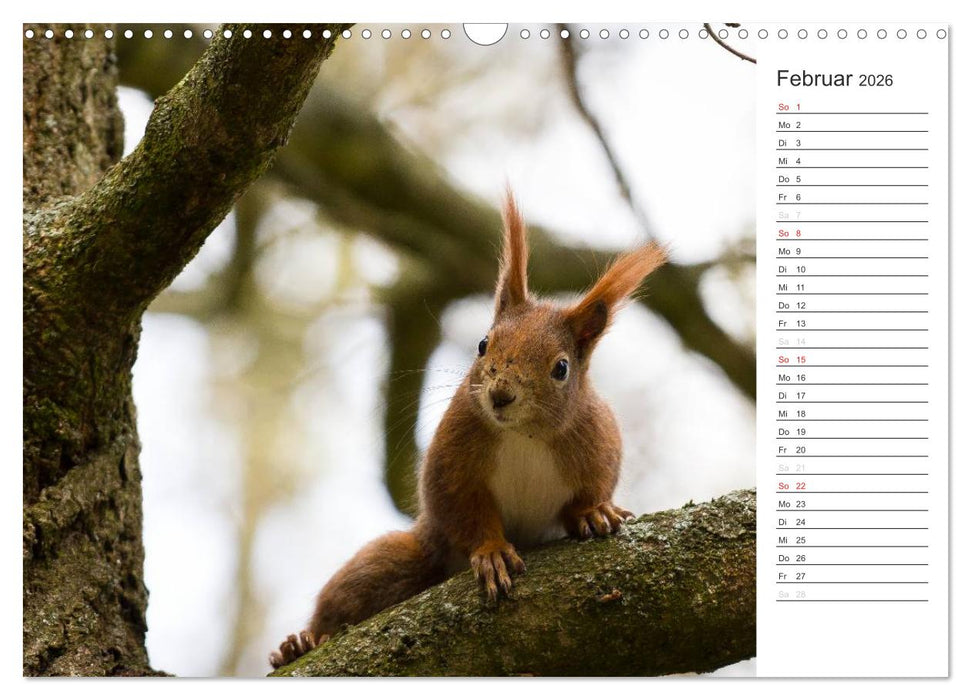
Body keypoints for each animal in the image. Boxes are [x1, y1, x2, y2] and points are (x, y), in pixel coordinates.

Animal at [270, 190, 667, 669]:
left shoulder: (596, 439)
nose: (500, 395)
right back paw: (300, 644)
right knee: (354, 591)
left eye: (561, 368)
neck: (523, 435)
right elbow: (462, 507)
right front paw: (492, 553)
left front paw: (593, 512)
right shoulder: (454, 457)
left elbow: (593, 487)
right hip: (410, 556)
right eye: (483, 344)